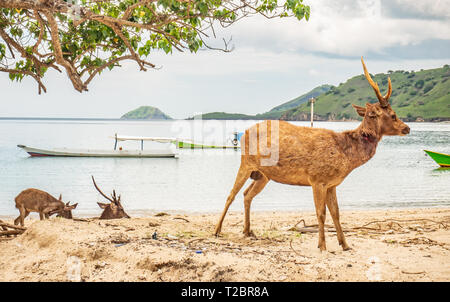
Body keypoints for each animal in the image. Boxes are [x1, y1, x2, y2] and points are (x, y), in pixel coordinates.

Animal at [215, 57, 412, 251]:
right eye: (393, 115)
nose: (407, 128)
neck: (346, 157)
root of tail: (244, 133)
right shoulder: (317, 179)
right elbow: (321, 213)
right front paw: (322, 246)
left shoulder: (332, 184)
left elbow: (336, 213)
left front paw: (345, 244)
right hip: (246, 162)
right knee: (231, 195)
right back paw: (217, 230)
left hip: (264, 175)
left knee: (247, 194)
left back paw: (248, 231)